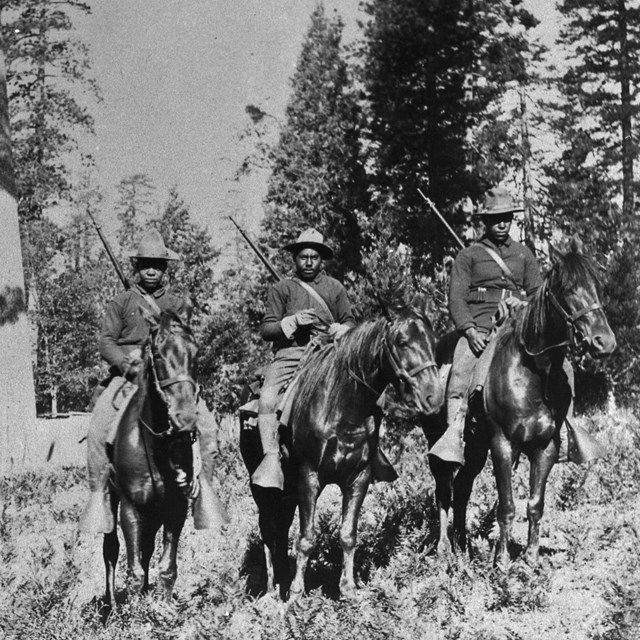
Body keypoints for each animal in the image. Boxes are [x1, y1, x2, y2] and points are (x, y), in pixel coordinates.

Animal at [102, 310, 200, 608]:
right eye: (158, 354)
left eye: (196, 352)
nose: (185, 418)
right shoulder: (130, 508)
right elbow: (133, 571)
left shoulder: (175, 507)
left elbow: (167, 568)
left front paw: (163, 610)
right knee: (110, 549)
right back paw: (111, 608)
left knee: (145, 550)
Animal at [284, 296, 444, 600]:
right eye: (402, 342)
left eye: (433, 340)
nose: (434, 397)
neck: (342, 406)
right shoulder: (308, 476)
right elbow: (307, 538)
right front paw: (296, 594)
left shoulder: (359, 478)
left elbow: (348, 535)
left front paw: (348, 589)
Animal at [424, 239, 616, 564]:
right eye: (567, 288)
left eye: (600, 286)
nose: (604, 342)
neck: (532, 374)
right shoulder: (503, 444)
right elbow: (507, 505)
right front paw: (502, 561)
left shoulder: (545, 448)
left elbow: (535, 505)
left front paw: (531, 558)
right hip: (443, 447)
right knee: (444, 490)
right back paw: (444, 548)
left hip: (476, 450)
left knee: (462, 488)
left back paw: (463, 545)